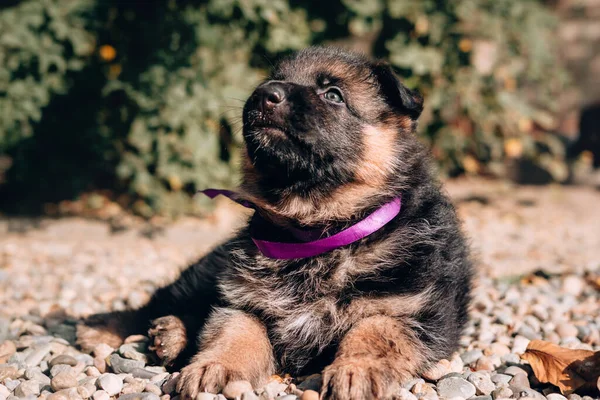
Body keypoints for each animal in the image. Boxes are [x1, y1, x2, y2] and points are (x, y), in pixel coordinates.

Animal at [78, 47, 474, 400]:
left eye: (333, 94)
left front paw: (356, 370)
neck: (317, 231)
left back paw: (168, 335)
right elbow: (236, 332)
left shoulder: (409, 310)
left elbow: (373, 333)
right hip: (206, 272)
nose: (264, 94)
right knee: (158, 302)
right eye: (273, 79)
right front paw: (216, 366)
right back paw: (113, 329)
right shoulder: (242, 299)